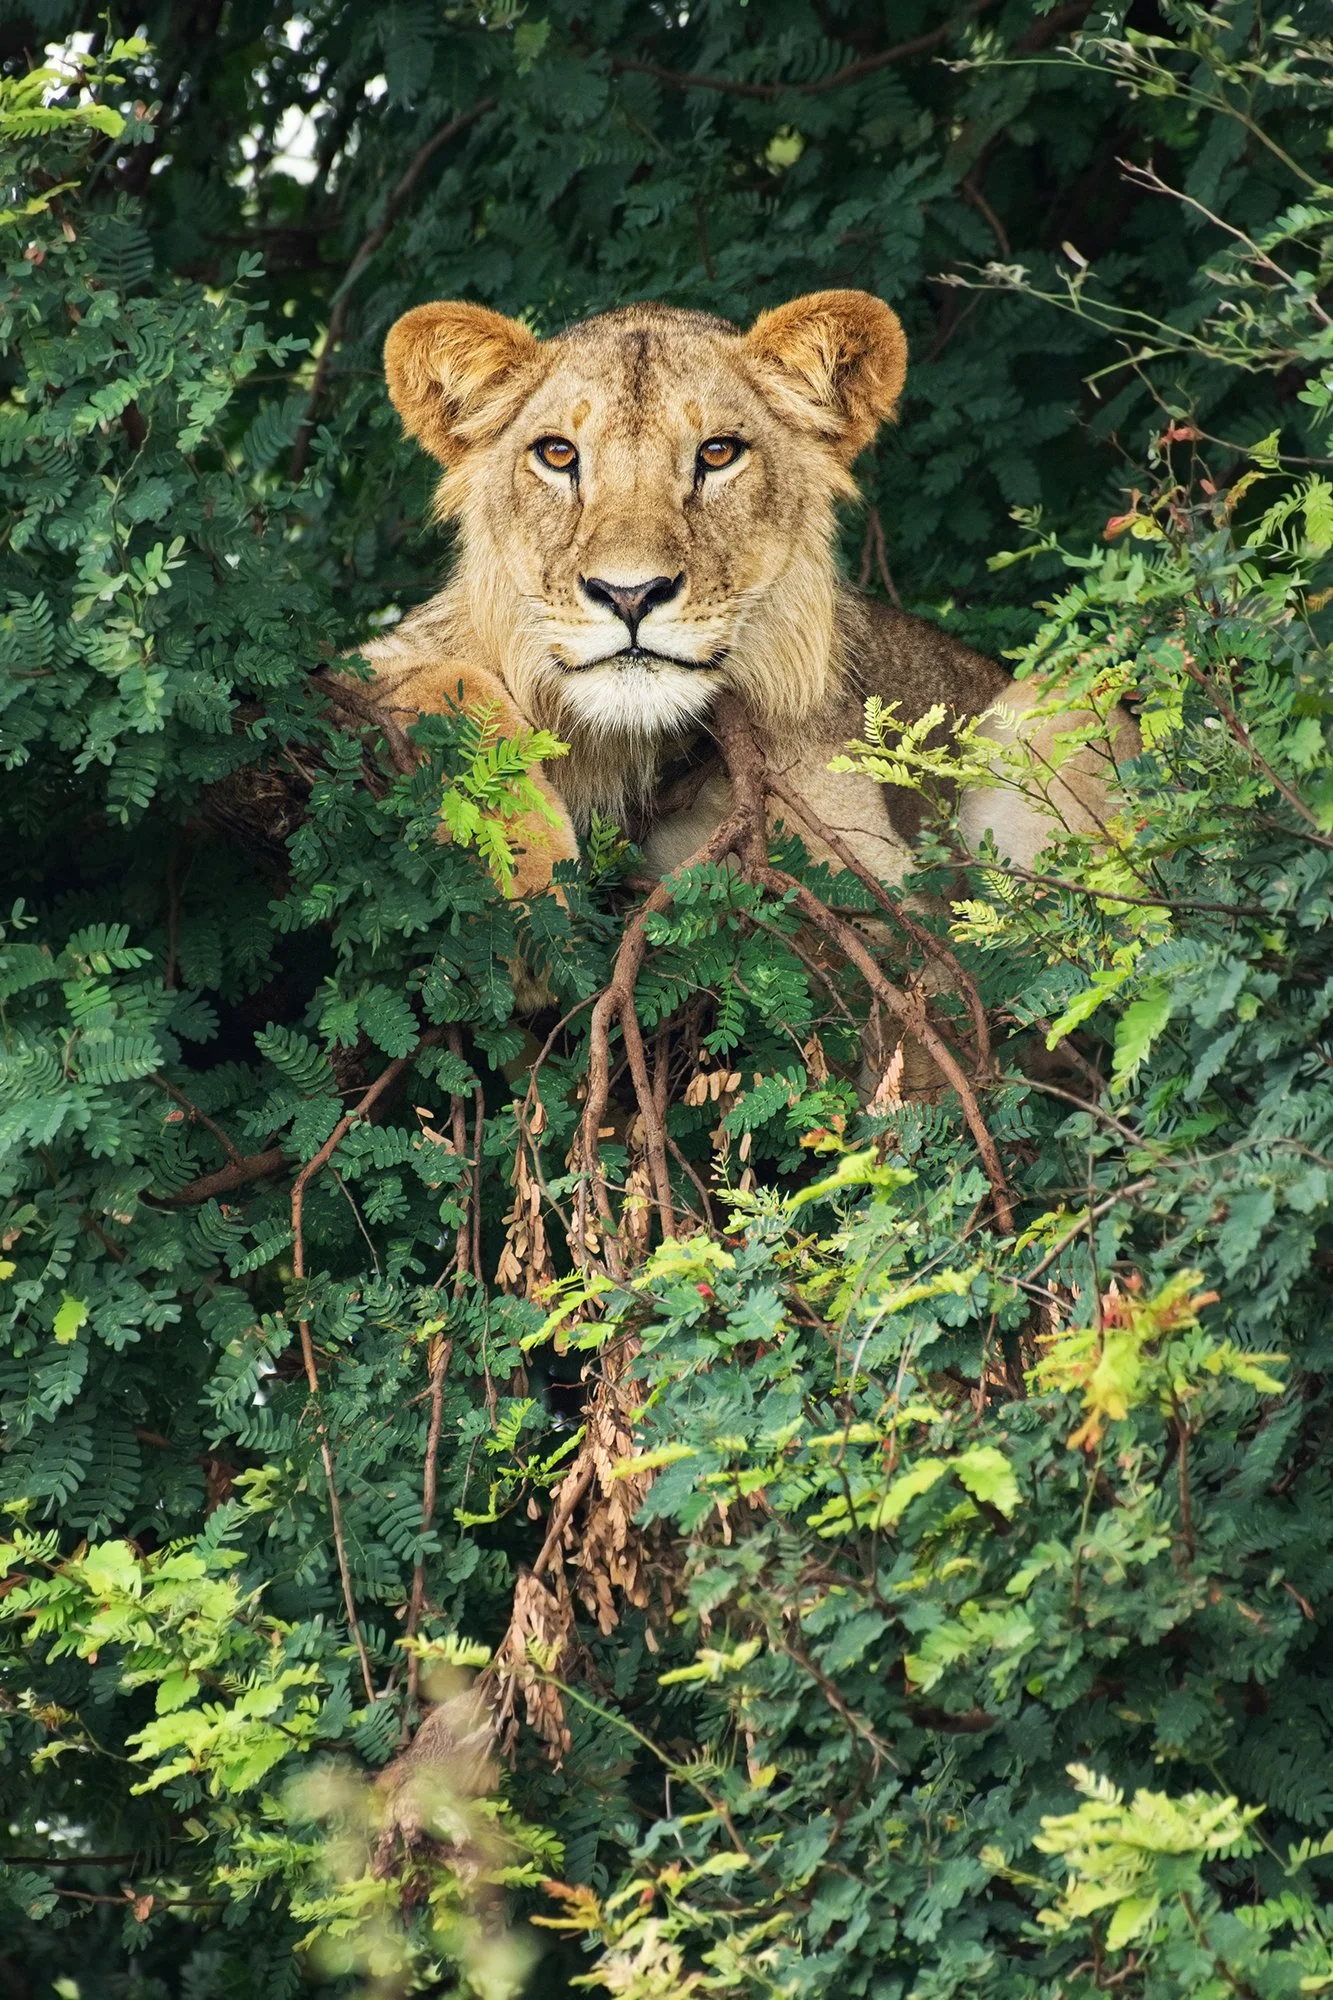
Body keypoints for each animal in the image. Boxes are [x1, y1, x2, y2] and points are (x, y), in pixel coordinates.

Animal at [356, 289, 1134, 898]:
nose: (630, 594)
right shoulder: (377, 659)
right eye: (557, 454)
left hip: (1056, 705)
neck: (629, 745)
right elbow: (442, 685)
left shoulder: (874, 884)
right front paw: (524, 861)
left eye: (718, 453)